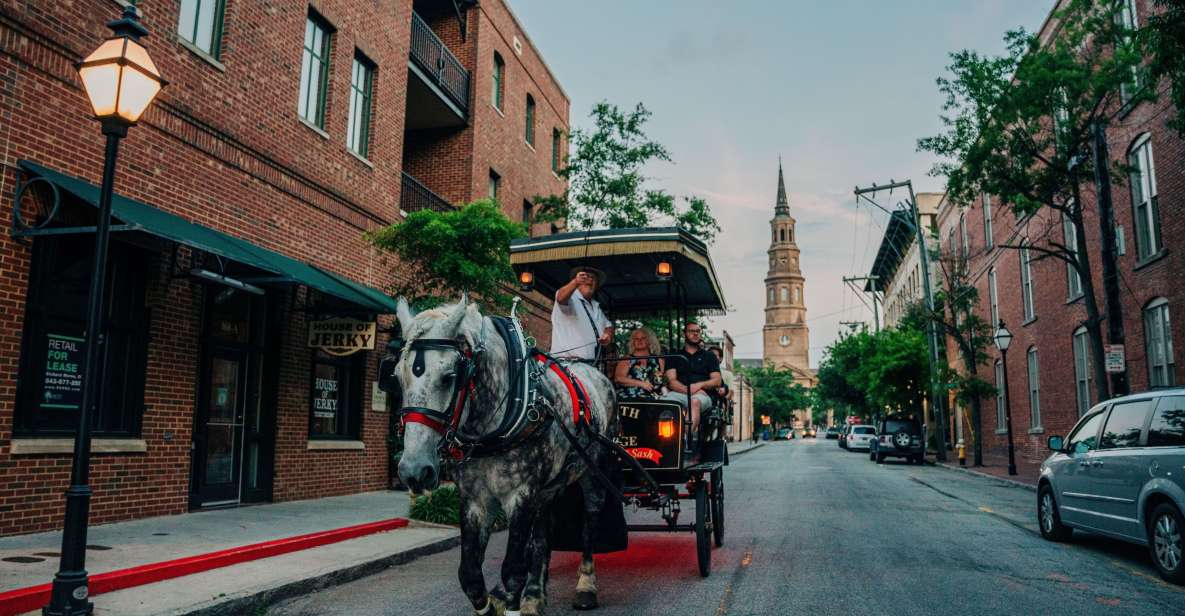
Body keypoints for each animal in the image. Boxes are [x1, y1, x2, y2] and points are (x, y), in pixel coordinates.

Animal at [395, 296, 620, 611]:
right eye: (397, 377)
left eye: (449, 377)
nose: (414, 470)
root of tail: (596, 372)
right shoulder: (475, 498)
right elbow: (470, 575)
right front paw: (497, 601)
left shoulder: (521, 494)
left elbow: (513, 571)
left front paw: (511, 598)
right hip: (548, 487)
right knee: (542, 535)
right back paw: (535, 594)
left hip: (593, 472)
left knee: (589, 523)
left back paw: (586, 585)